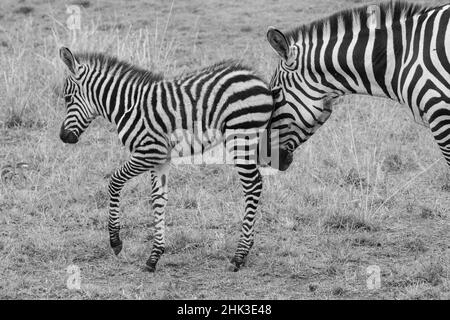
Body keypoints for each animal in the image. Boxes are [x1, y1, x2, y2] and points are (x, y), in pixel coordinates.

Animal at [59, 47, 274, 272]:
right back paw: (246, 250)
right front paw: (154, 256)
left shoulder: (149, 152)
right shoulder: (160, 158)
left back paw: (239, 255)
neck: (127, 105)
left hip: (240, 136)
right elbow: (159, 199)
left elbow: (115, 181)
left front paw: (116, 241)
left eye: (68, 98)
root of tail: (258, 79)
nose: (63, 137)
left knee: (252, 185)